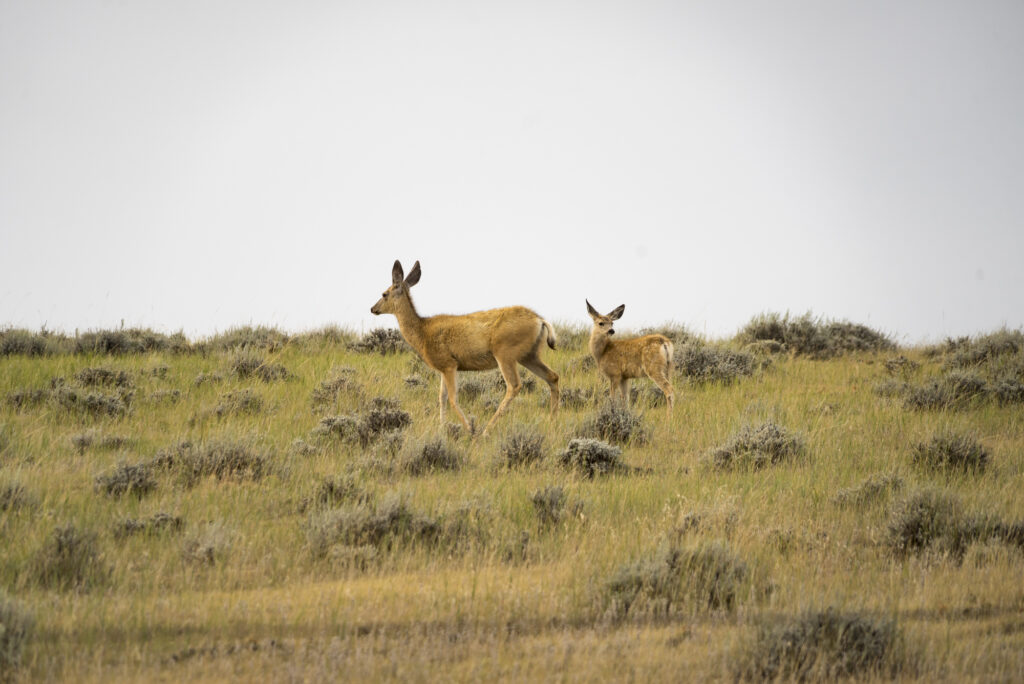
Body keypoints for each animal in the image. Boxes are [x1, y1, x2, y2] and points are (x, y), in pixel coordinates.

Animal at [370, 259, 561, 436]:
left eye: (384, 293)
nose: (373, 308)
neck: (422, 332)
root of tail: (540, 320)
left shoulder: (449, 364)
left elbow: (452, 398)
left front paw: (469, 428)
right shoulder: (443, 368)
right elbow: (442, 397)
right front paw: (442, 428)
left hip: (505, 352)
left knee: (514, 385)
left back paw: (486, 430)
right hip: (529, 355)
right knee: (552, 376)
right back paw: (552, 423)